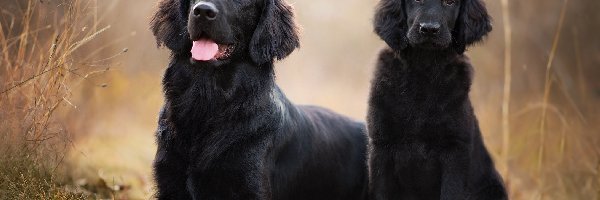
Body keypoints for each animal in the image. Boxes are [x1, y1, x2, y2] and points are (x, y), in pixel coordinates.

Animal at [368, 0, 508, 198]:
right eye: (416, 0)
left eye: (450, 2)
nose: (429, 29)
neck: (423, 69)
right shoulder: (381, 147)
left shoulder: (455, 152)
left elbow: (450, 192)